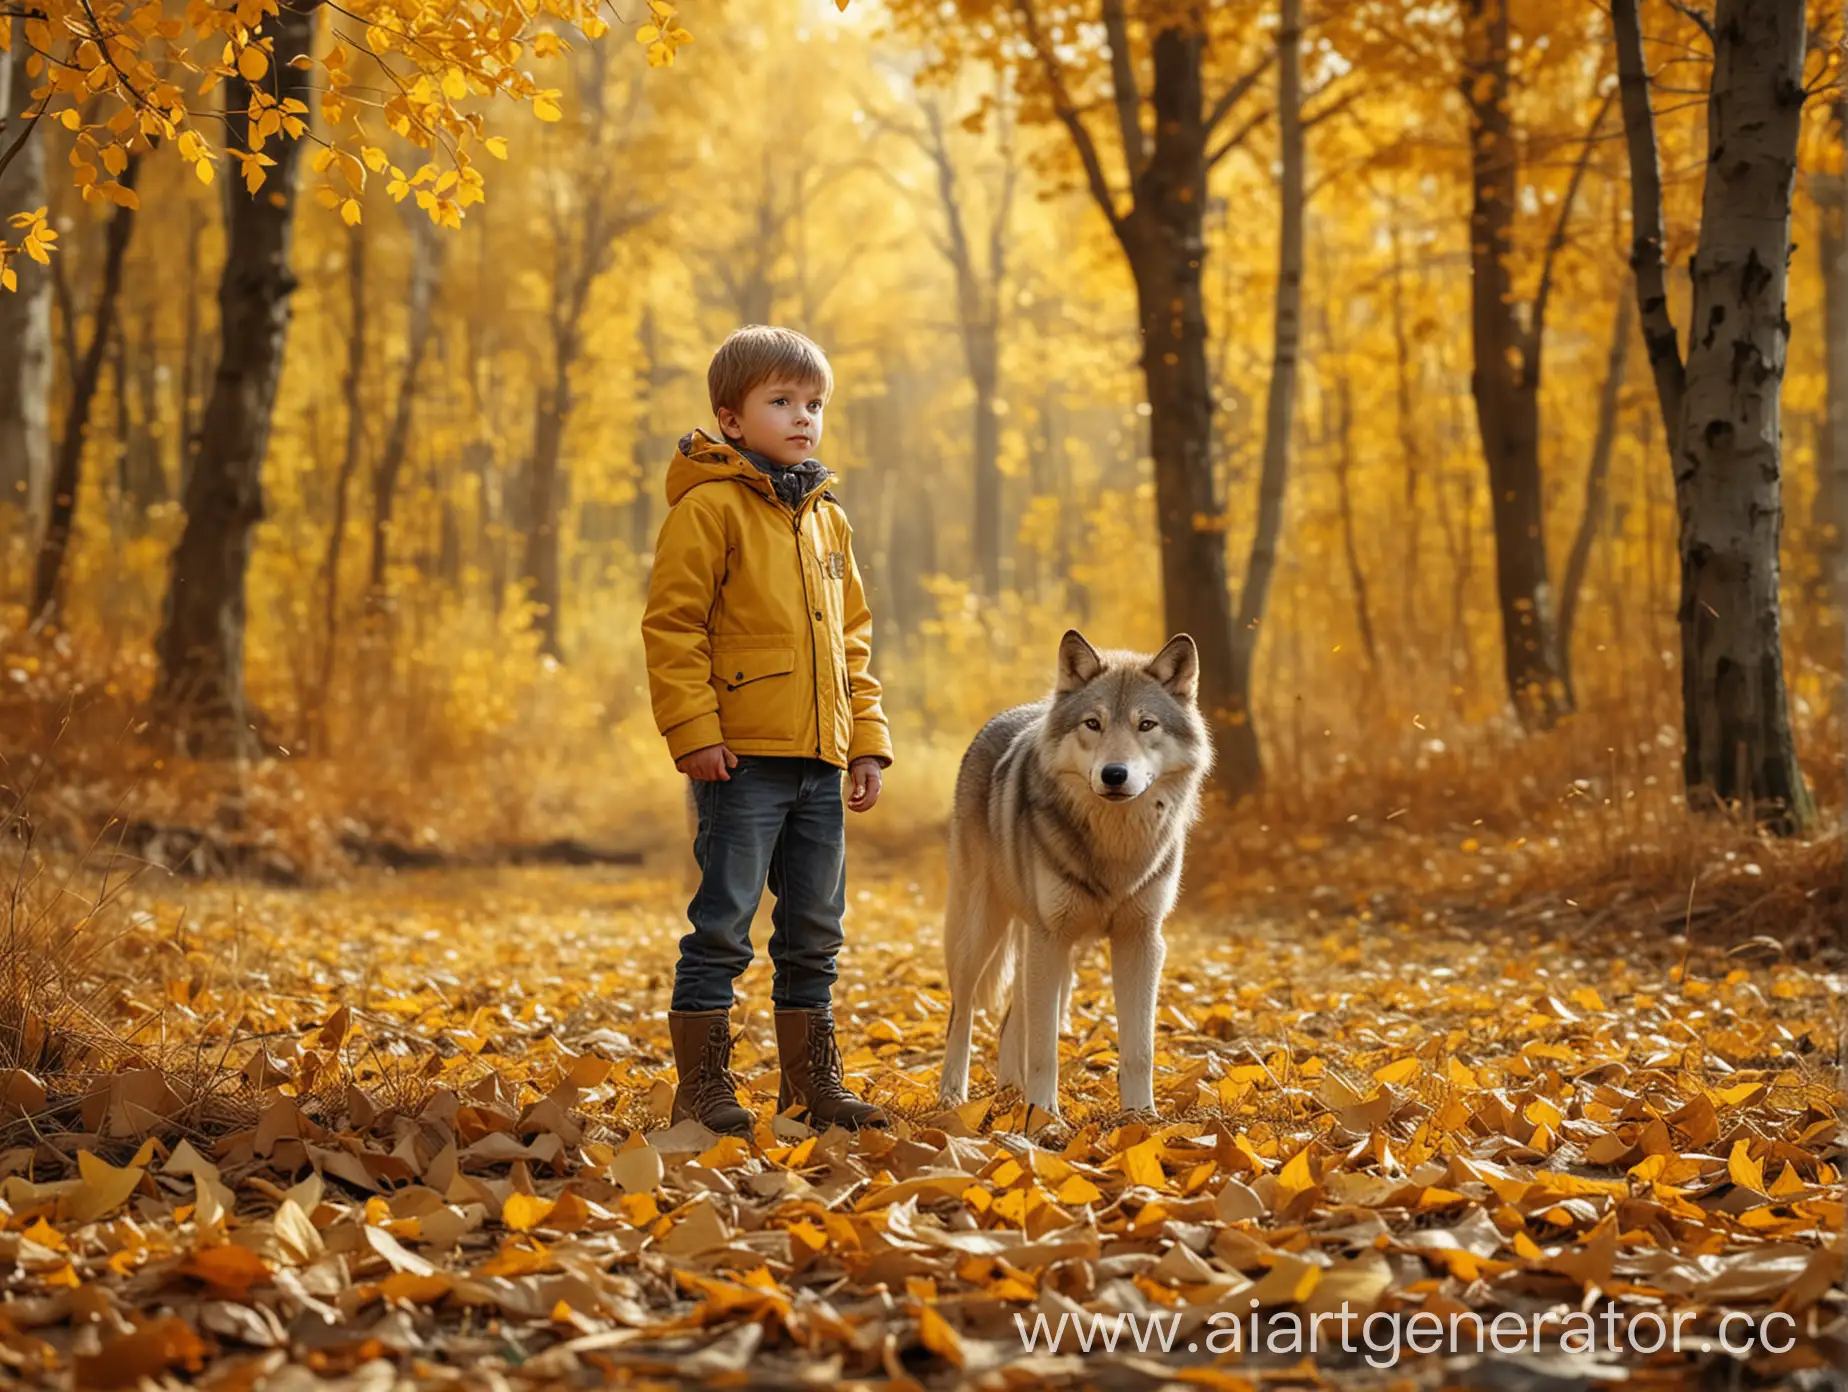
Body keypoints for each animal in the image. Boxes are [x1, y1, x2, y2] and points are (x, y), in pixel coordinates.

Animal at [938, 624, 1212, 1123]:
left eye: (1146, 724)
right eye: (1093, 724)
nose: (1114, 774)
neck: (1115, 849)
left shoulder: (1140, 941)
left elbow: (1139, 1049)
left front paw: (1141, 1119)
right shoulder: (1051, 937)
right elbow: (1045, 1047)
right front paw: (1044, 1119)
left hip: (1047, 948)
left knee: (1009, 1021)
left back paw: (1010, 1091)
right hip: (982, 935)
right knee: (962, 1015)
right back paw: (954, 1095)